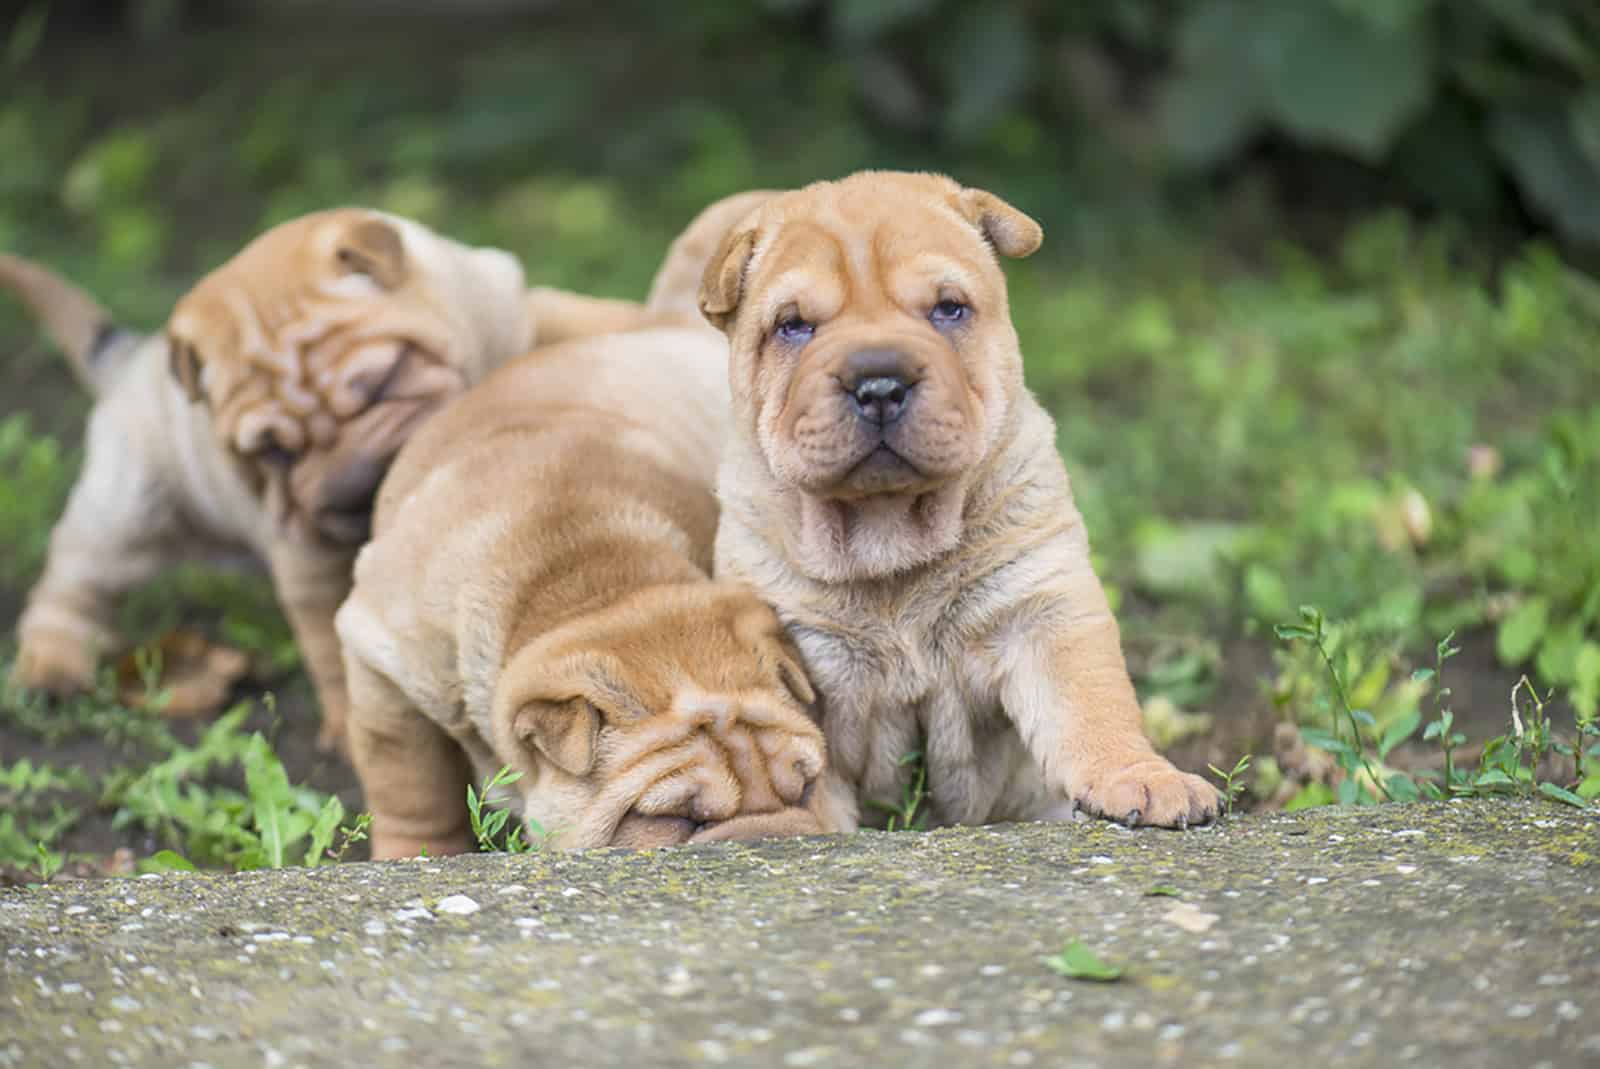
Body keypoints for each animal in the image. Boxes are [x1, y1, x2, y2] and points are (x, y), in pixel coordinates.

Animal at [1, 212, 537, 748]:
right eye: (273, 451)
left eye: (384, 382)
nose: (355, 486)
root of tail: (132, 360)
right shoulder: (309, 560)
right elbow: (331, 647)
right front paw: (347, 731)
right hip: (126, 510)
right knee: (70, 583)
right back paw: (51, 666)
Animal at [336, 328, 838, 857]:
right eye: (675, 818)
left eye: (806, 787)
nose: (773, 839)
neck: (594, 581)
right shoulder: (382, 660)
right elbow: (411, 783)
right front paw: (413, 853)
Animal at [694, 171, 1216, 832]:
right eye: (793, 325)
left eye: (948, 309)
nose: (879, 383)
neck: (888, 535)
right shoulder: (801, 660)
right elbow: (805, 775)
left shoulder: (1041, 609)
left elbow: (1092, 704)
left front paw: (1143, 778)